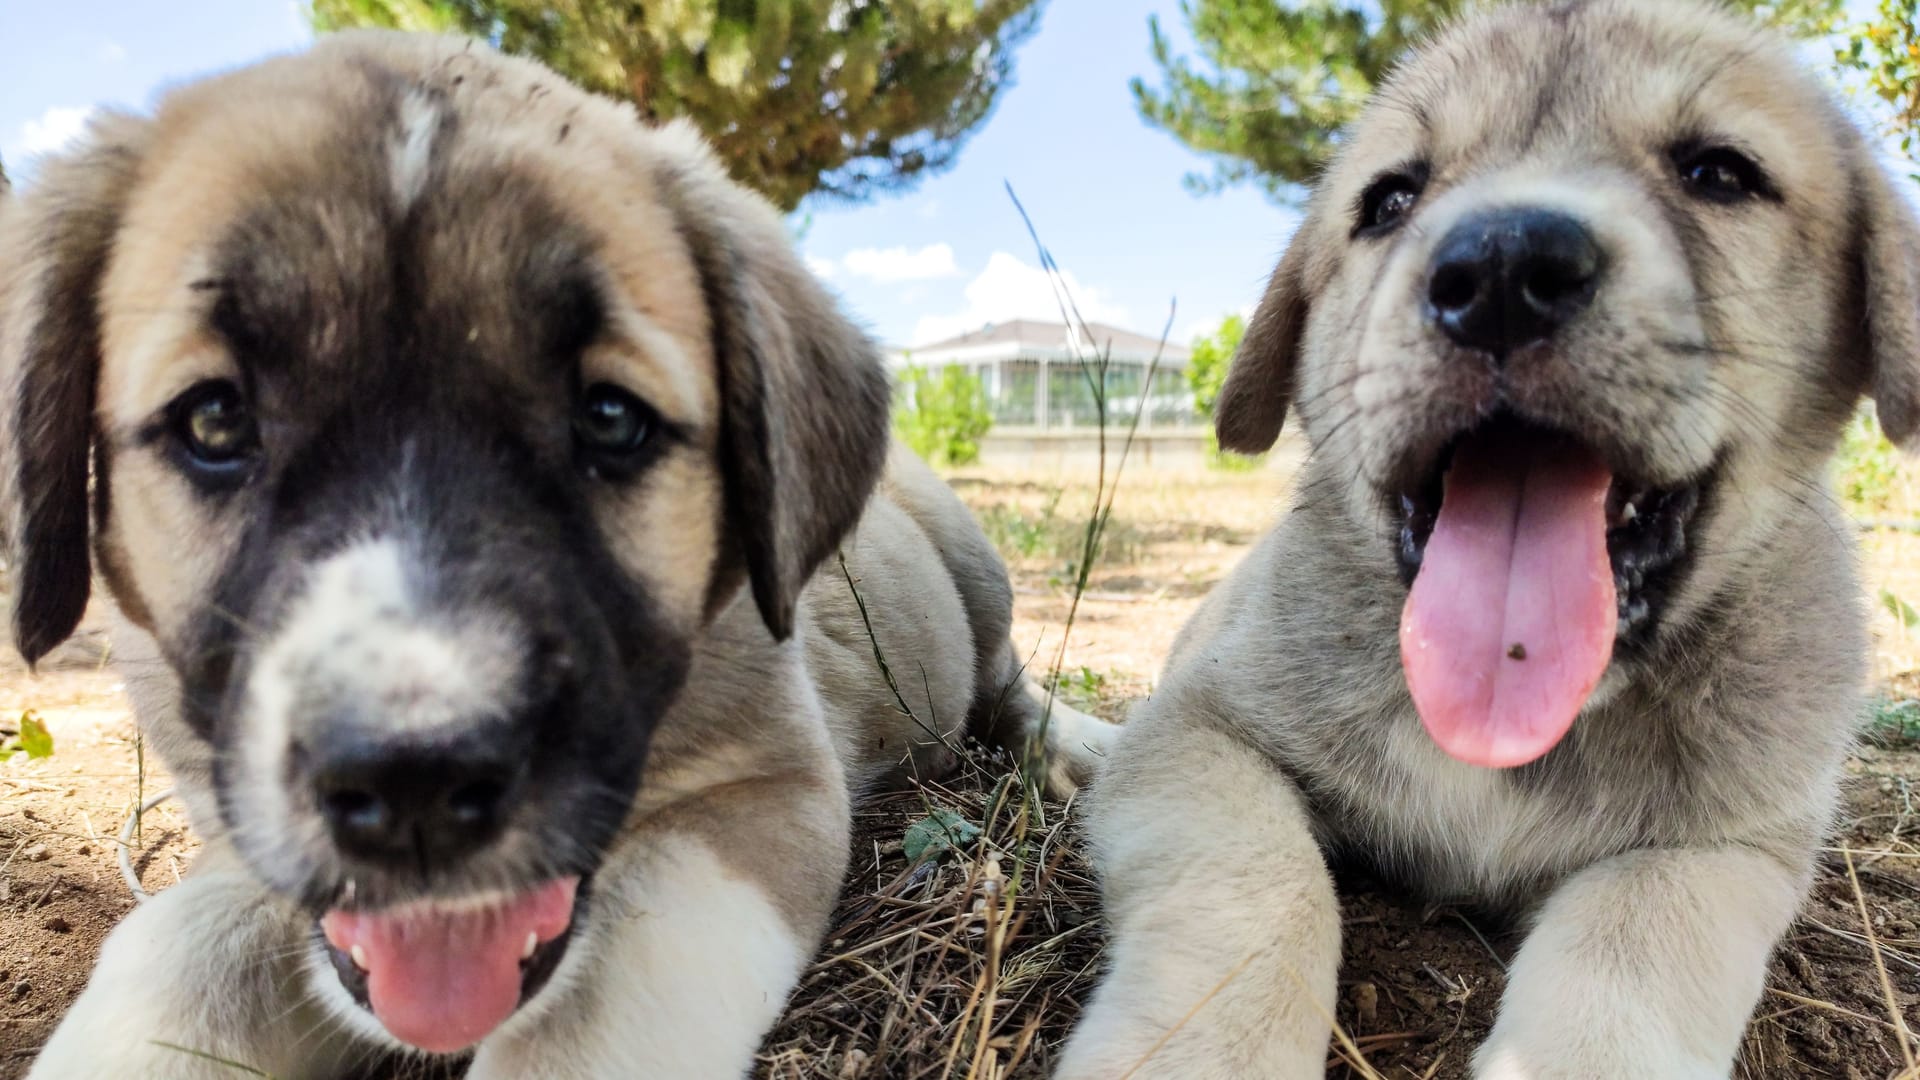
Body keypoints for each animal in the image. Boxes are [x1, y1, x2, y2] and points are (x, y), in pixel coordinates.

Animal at [3, 29, 1113, 1068]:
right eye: (215, 420)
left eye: (612, 420)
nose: (415, 789)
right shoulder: (243, 843)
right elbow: (179, 958)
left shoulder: (766, 792)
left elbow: (604, 1003)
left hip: (972, 563)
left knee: (1007, 685)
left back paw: (1080, 751)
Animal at [1059, 2, 1920, 1076]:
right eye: (1390, 199)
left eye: (1720, 172)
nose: (1504, 268)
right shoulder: (1199, 732)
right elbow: (1252, 884)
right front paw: (1205, 1051)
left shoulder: (1727, 846)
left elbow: (1636, 940)